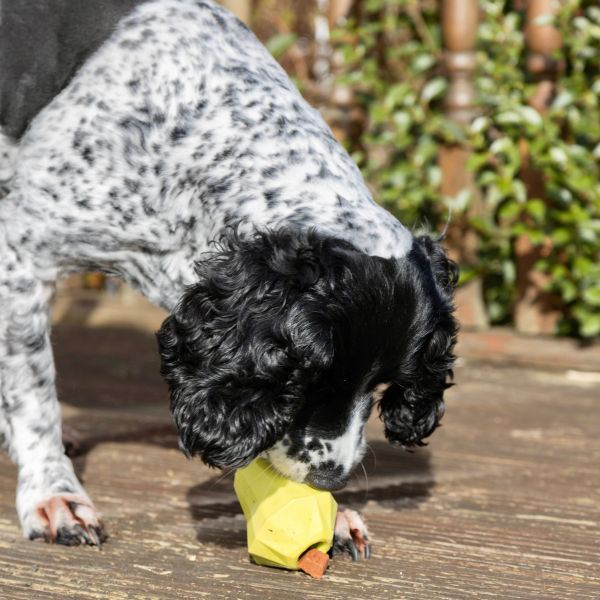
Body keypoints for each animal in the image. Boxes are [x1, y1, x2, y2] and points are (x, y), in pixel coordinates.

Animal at [1, 0, 460, 556]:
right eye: (310, 380)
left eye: (383, 383)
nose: (332, 479)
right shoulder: (22, 252)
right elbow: (33, 392)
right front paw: (52, 492)